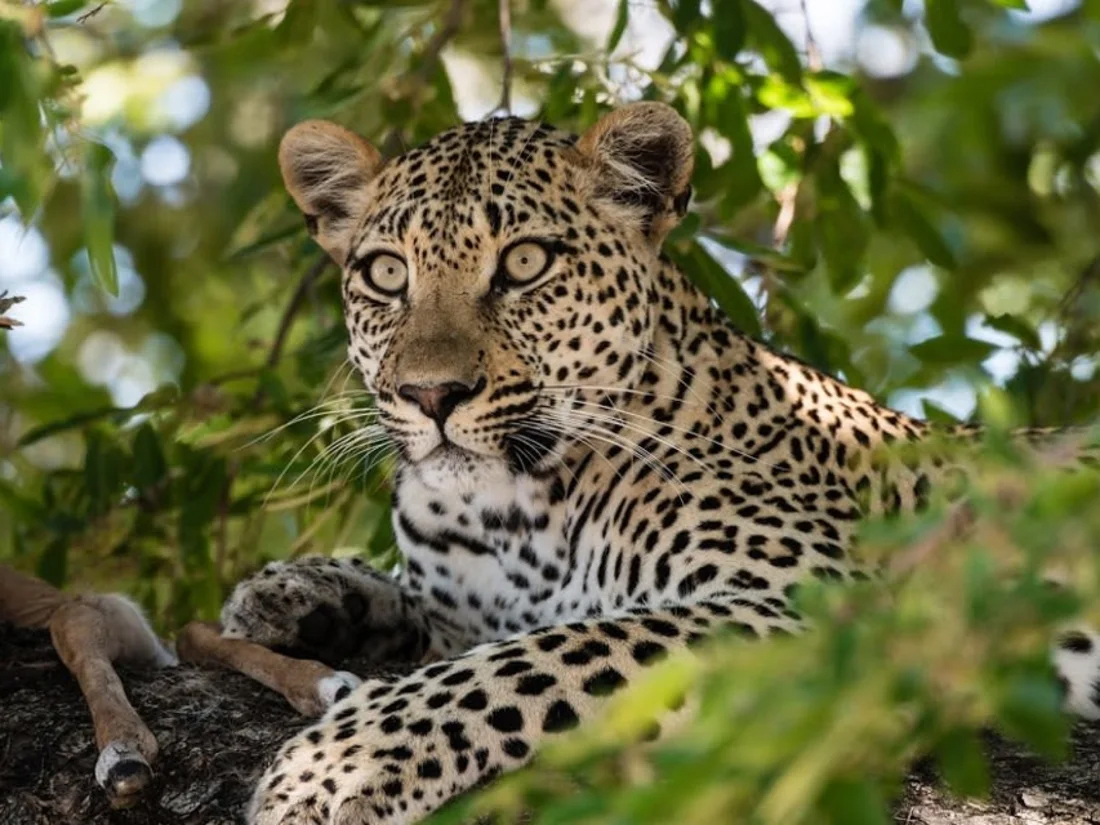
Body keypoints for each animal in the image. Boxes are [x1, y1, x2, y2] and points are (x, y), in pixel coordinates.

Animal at [216, 102, 1100, 825]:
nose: (431, 393)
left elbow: (523, 662)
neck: (507, 509)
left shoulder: (819, 601)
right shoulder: (463, 606)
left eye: (525, 263)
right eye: (387, 273)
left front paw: (334, 765)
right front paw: (295, 591)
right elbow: (426, 612)